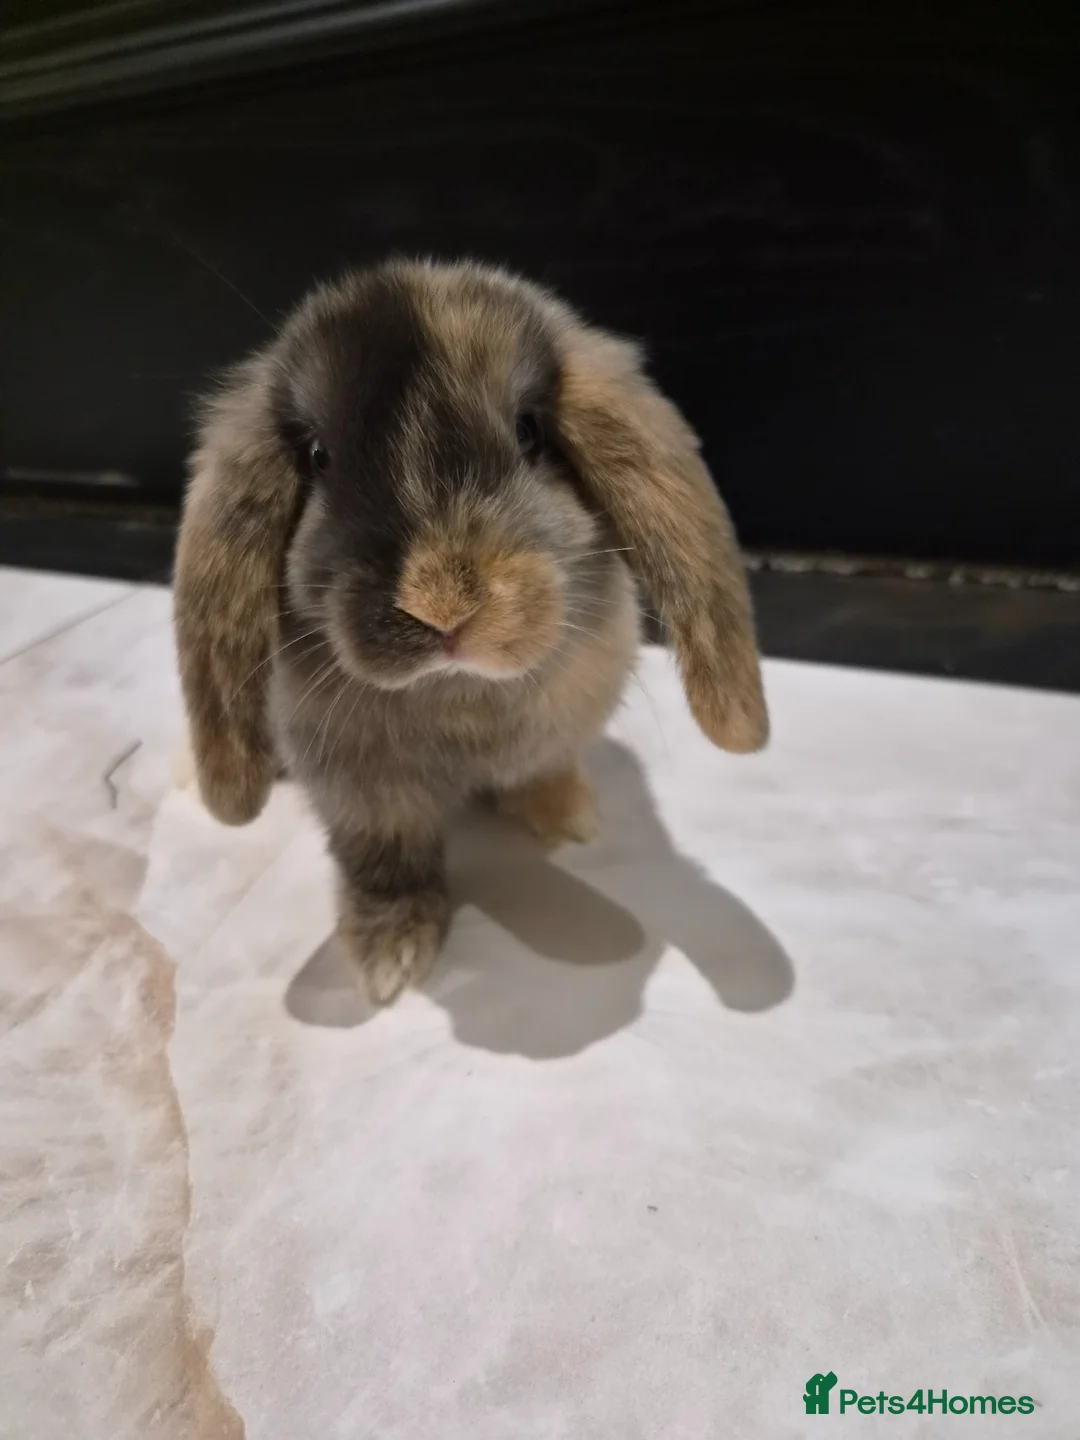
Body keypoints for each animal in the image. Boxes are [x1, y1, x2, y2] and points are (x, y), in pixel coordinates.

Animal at [173, 258, 768, 1005]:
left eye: (529, 432)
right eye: (317, 455)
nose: (441, 607)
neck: (460, 694)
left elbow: (543, 769)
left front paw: (567, 819)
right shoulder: (367, 798)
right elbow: (386, 861)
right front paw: (390, 957)